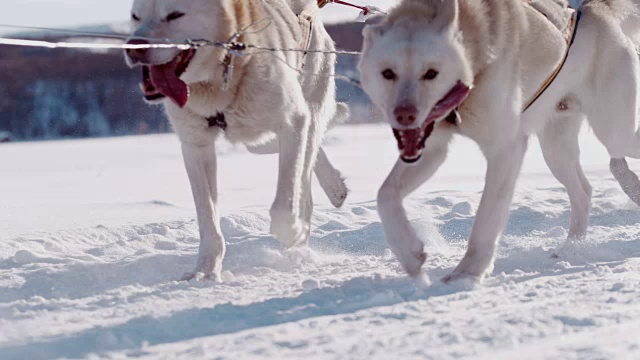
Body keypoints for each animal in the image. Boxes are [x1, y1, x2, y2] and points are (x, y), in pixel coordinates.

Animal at [122, 0, 348, 280]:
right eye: (135, 17)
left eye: (174, 15)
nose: (134, 46)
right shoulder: (195, 145)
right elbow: (208, 219)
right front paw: (205, 271)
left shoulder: (293, 120)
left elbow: (284, 207)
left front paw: (295, 232)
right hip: (258, 141)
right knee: (309, 154)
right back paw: (335, 187)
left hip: (307, 110)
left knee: (306, 165)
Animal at [358, 0, 640, 282]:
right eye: (387, 73)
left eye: (431, 73)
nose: (404, 114)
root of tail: (592, 9)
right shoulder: (432, 149)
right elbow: (385, 195)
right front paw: (409, 254)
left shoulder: (506, 149)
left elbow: (487, 218)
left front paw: (467, 273)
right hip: (556, 149)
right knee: (583, 192)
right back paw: (571, 248)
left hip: (614, 132)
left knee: (615, 153)